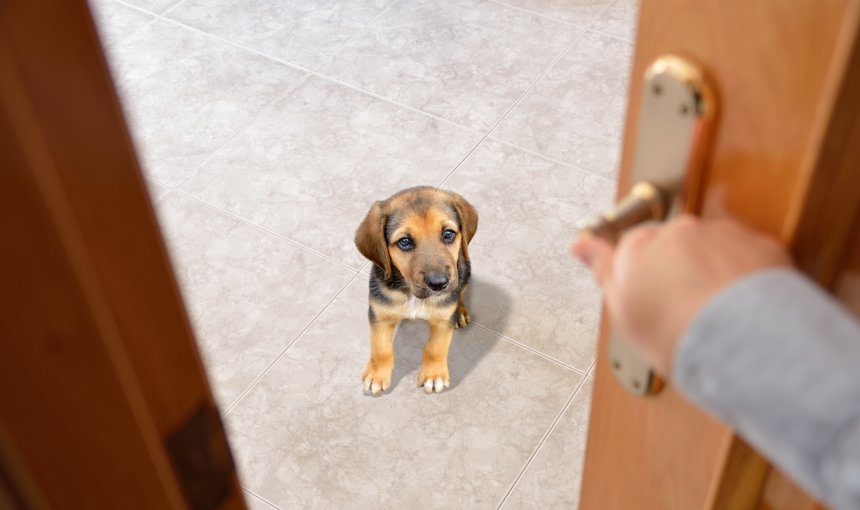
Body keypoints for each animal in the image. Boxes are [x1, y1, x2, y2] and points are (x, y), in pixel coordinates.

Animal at [354, 186, 478, 394]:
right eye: (404, 242)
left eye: (448, 234)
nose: (439, 284)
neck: (412, 294)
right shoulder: (379, 315)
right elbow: (381, 348)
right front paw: (377, 374)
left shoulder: (443, 320)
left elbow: (436, 348)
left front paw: (434, 375)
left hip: (465, 270)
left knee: (461, 291)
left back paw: (460, 312)